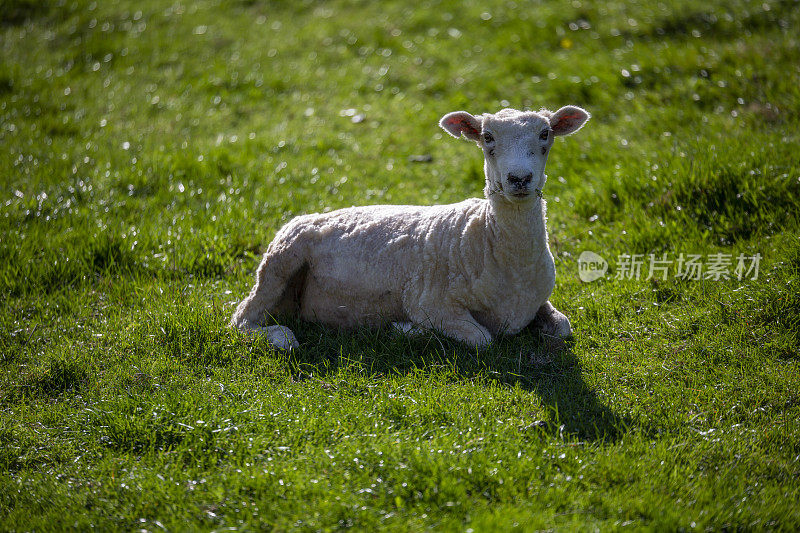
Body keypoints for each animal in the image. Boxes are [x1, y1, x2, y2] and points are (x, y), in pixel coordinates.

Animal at [228, 105, 592, 352]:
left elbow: (562, 327)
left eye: (545, 134)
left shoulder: (539, 301)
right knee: (243, 318)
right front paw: (408, 330)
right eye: (487, 137)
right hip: (280, 261)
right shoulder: (430, 302)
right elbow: (482, 338)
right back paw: (280, 337)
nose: (519, 179)